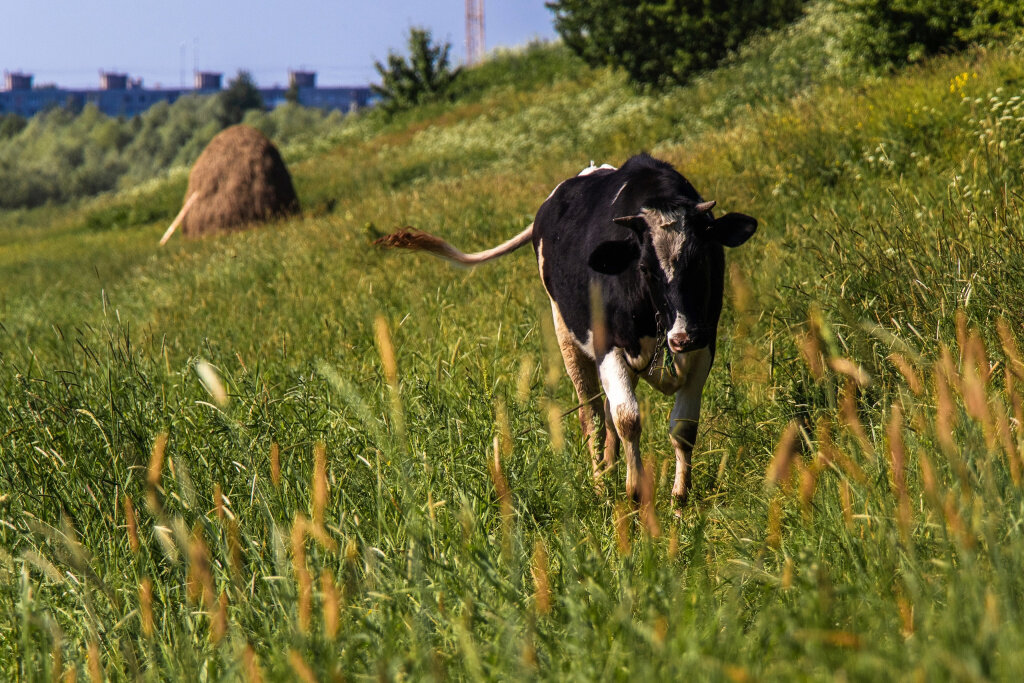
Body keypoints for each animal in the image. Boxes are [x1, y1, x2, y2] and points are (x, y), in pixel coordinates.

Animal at [380, 154, 757, 507]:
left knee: (606, 416)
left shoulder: (704, 345)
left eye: (702, 260)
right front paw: (635, 496)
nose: (681, 337)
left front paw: (679, 501)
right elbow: (628, 419)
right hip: (566, 336)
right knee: (592, 416)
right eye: (645, 268)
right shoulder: (608, 346)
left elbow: (682, 427)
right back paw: (601, 486)